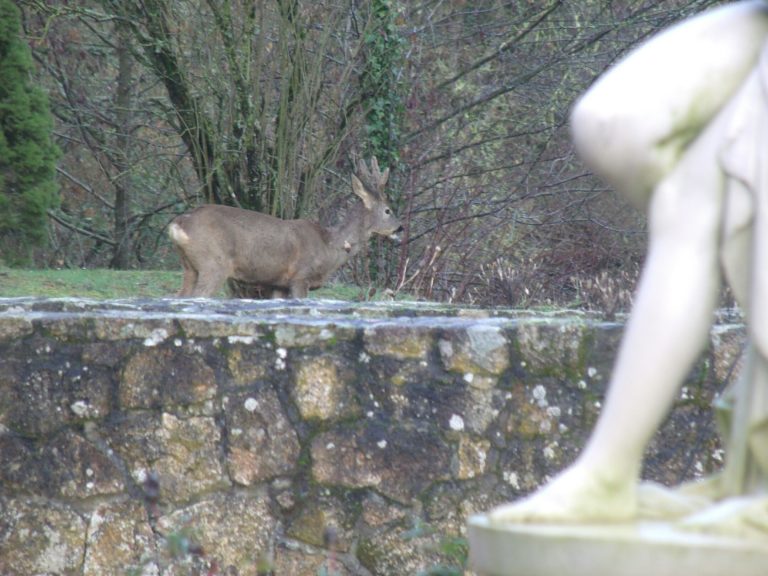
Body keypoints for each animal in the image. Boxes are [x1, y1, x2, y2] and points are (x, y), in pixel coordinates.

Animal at [164, 159, 400, 302]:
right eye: (388, 210)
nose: (400, 227)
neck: (329, 246)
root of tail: (179, 224)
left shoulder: (279, 284)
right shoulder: (300, 276)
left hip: (190, 267)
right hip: (213, 263)